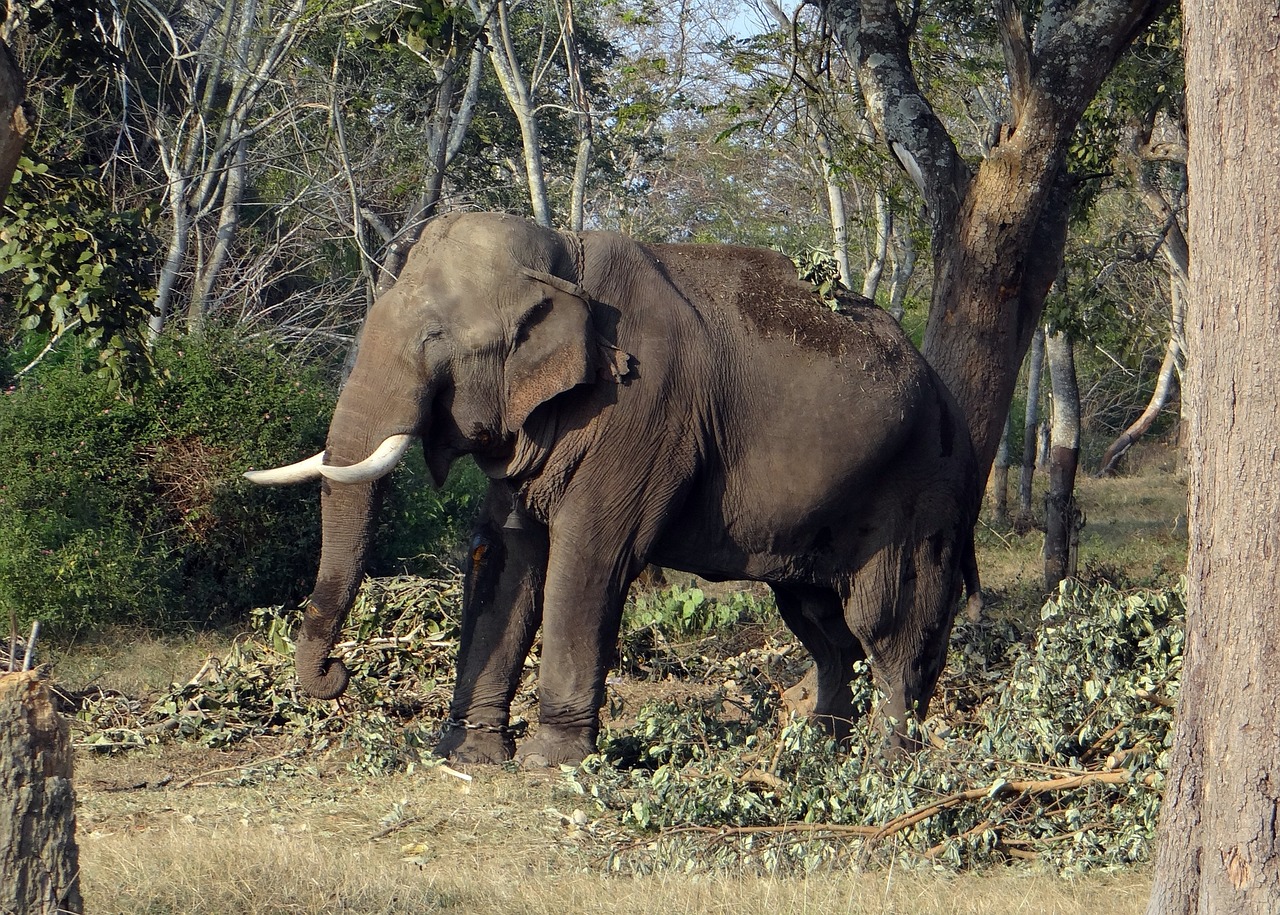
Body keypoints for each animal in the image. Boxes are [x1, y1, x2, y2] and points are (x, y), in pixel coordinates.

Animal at [249, 212, 983, 767]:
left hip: (923, 488)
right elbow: (507, 557)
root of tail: (952, 402)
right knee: (821, 623)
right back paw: (817, 755)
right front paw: (469, 756)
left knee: (889, 624)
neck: (565, 256)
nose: (336, 676)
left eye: (436, 338)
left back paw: (888, 765)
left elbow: (589, 559)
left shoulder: (642, 412)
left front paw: (549, 764)